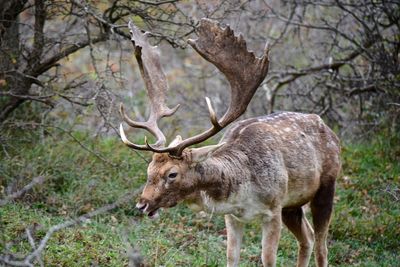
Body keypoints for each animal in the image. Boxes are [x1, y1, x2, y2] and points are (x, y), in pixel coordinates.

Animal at [119, 18, 340, 267]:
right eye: (149, 170)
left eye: (172, 174)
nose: (142, 204)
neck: (242, 190)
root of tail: (328, 129)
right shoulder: (233, 217)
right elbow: (231, 256)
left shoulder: (273, 208)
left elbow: (268, 258)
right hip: (292, 205)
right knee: (307, 237)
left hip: (326, 185)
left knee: (321, 245)